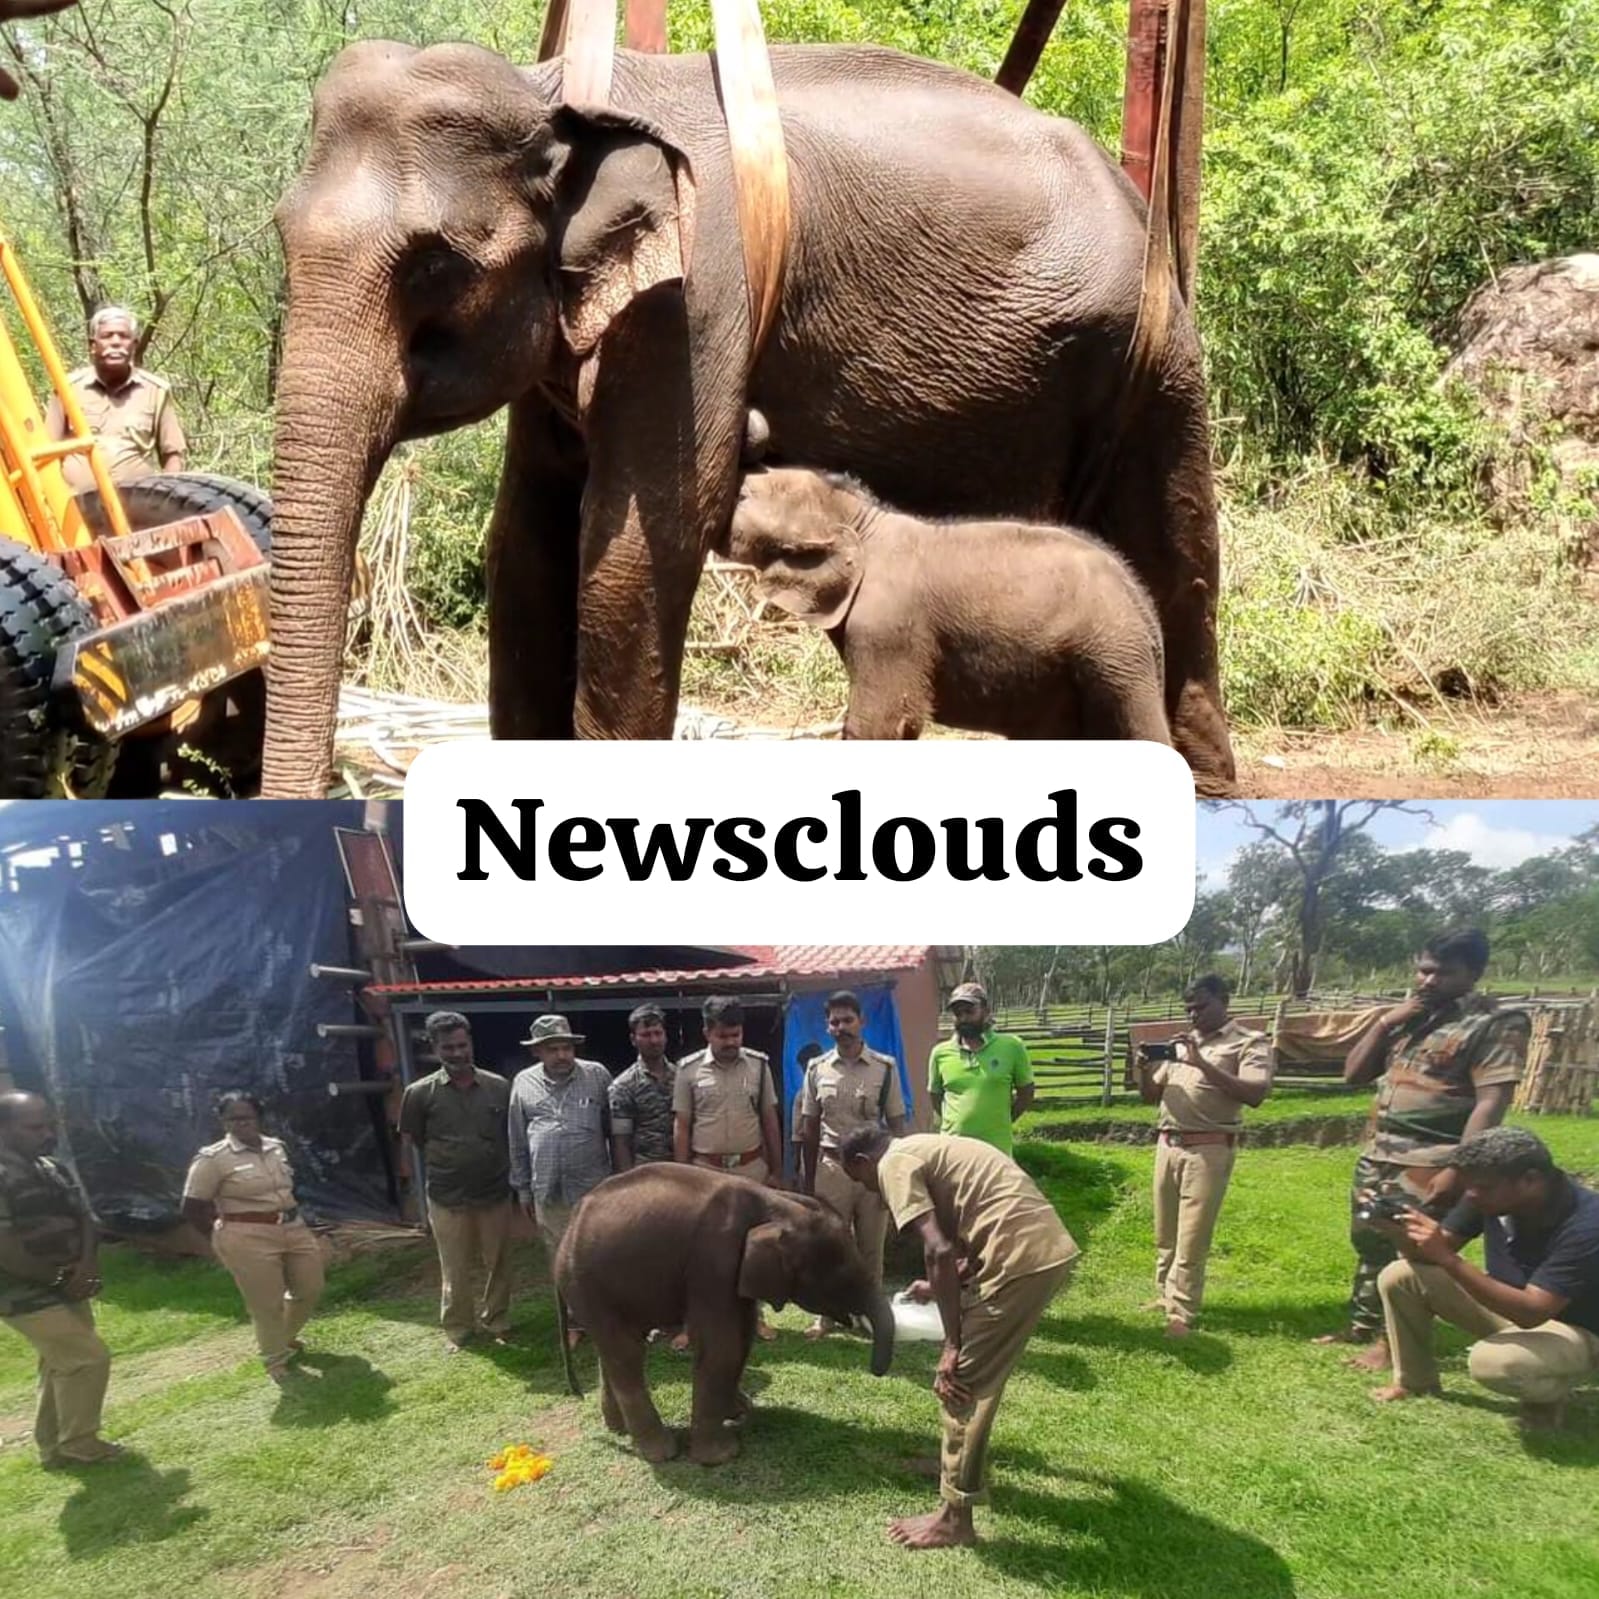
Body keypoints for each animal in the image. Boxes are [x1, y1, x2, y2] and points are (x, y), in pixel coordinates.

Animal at [556, 1164, 895, 1464]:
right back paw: (661, 1452)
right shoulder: (713, 1262)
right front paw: (722, 1455)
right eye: (840, 1276)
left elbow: (743, 1336)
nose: (877, 1372)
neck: (777, 1203)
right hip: (589, 1285)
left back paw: (618, 1429)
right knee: (627, 1353)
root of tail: (568, 1230)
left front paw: (740, 1411)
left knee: (613, 1352)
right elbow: (723, 1345)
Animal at [732, 460, 1170, 738]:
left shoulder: (889, 628)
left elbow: (884, 721)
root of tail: (1145, 606)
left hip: (1115, 653)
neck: (864, 519)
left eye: (743, 497)